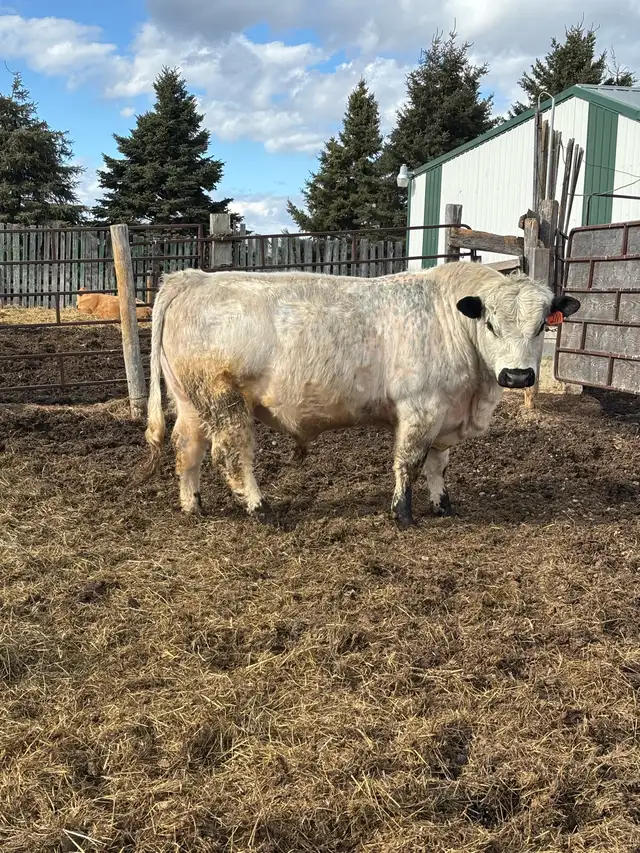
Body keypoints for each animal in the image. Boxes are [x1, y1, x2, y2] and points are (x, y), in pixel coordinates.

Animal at [141, 262, 580, 528]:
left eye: (543, 325)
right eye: (490, 324)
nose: (518, 375)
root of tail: (193, 277)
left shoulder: (445, 415)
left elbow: (437, 466)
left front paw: (443, 505)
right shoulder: (420, 408)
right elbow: (409, 463)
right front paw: (403, 514)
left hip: (191, 403)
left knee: (188, 449)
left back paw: (193, 505)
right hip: (225, 401)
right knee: (231, 455)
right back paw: (259, 507)